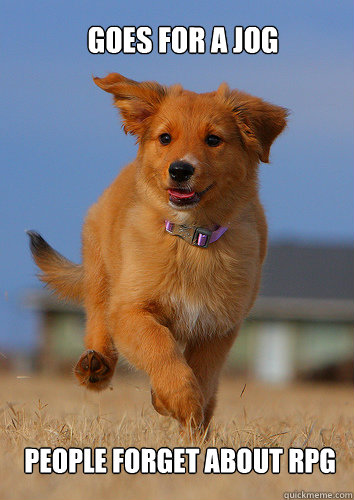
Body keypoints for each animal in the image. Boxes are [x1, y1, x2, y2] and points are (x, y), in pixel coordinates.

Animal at [27, 73, 288, 430]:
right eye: (165, 138)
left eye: (214, 140)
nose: (180, 170)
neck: (191, 239)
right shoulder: (131, 310)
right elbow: (159, 346)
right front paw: (178, 398)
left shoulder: (219, 326)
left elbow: (203, 374)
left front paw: (181, 408)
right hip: (101, 270)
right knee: (97, 317)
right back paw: (94, 367)